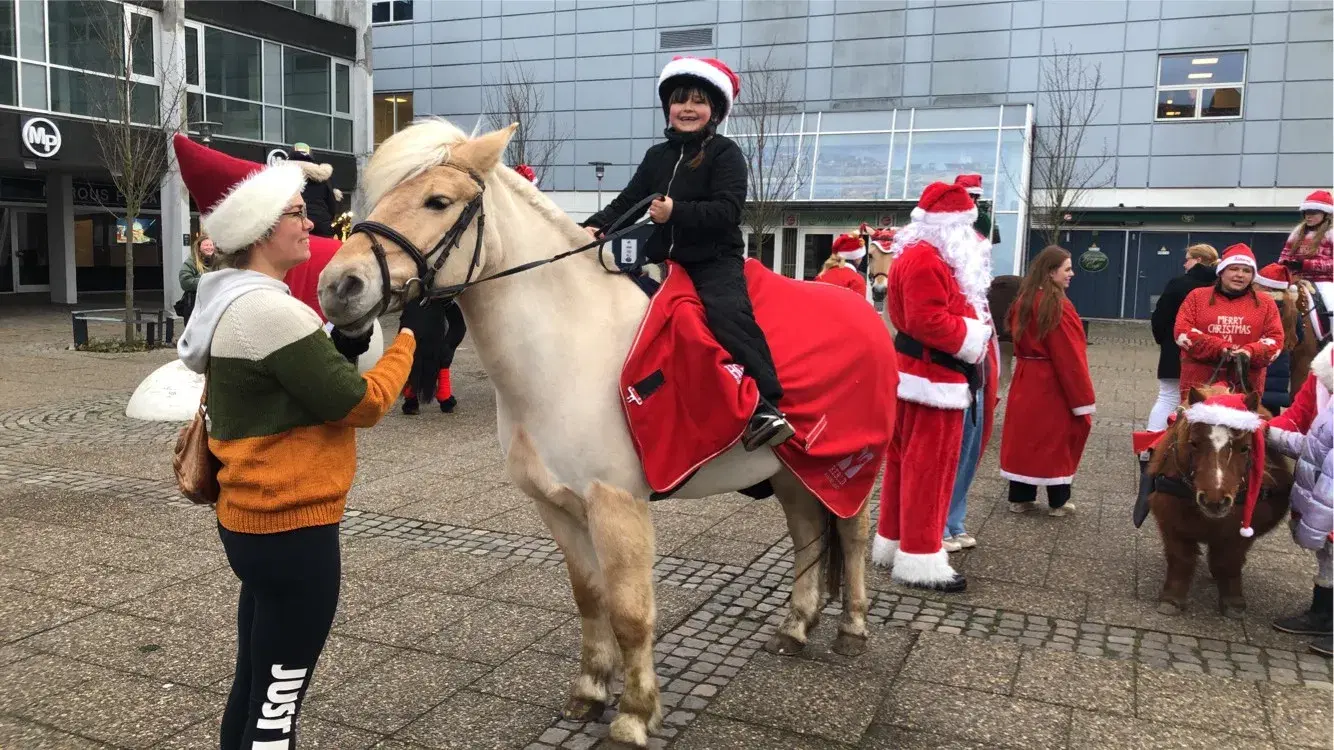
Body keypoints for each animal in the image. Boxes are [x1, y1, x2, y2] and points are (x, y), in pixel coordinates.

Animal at [316, 119, 880, 741]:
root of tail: (863, 311)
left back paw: (852, 628)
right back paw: (796, 625)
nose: (338, 286)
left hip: (852, 465)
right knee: (807, 531)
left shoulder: (617, 504)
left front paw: (634, 712)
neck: (569, 345)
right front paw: (589, 691)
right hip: (788, 471)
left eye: (437, 201)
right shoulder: (557, 505)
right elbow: (589, 597)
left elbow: (631, 613)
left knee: (851, 534)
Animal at [1147, 381, 1291, 616]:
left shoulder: (1239, 532)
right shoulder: (1171, 521)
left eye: (1245, 448)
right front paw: (1171, 599)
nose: (1214, 501)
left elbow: (1229, 561)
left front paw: (1233, 601)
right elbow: (1181, 559)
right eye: (1194, 443)